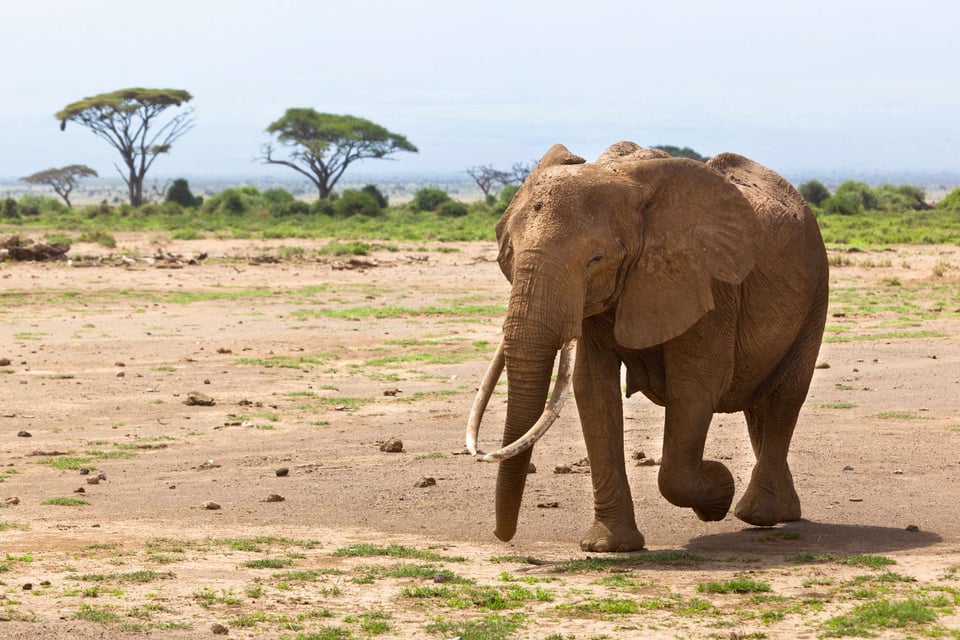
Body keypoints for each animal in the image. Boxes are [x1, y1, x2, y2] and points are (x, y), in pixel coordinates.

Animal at [466, 141, 829, 552]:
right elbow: (594, 391)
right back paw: (781, 512)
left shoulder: (708, 281)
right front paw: (608, 547)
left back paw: (757, 515)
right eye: (509, 251)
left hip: (816, 292)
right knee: (760, 408)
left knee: (785, 396)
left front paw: (718, 487)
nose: (503, 536)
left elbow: (694, 388)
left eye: (597, 258)